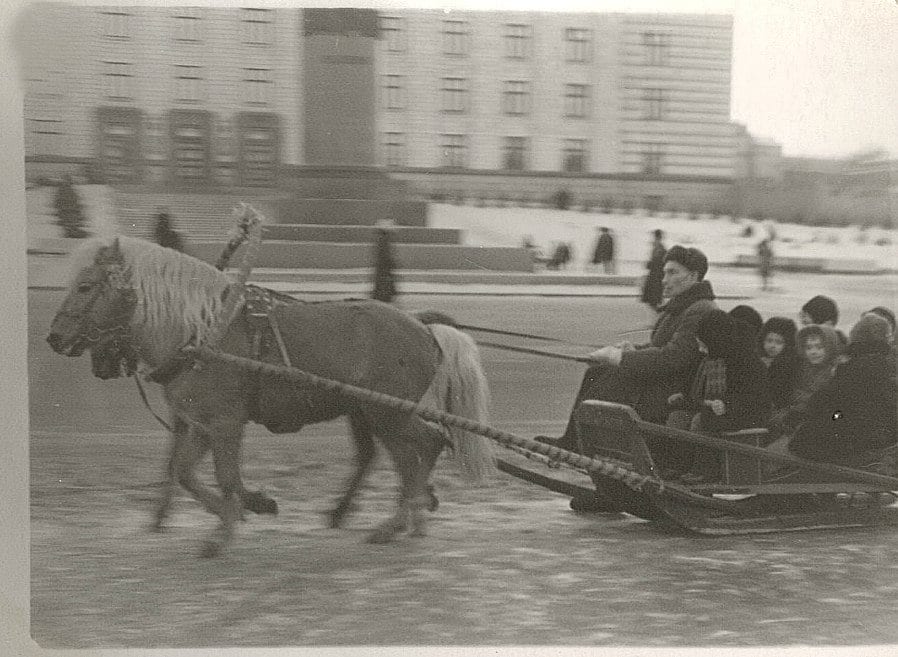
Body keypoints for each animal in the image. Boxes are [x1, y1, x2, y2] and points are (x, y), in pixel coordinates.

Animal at [45, 234, 494, 552]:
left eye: (85, 287)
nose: (54, 338)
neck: (204, 334)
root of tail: (425, 328)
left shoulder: (225, 422)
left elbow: (225, 476)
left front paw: (228, 526)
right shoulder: (200, 425)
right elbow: (186, 473)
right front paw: (240, 509)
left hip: (386, 414)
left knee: (423, 449)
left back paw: (399, 519)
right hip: (376, 415)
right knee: (411, 457)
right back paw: (409, 518)